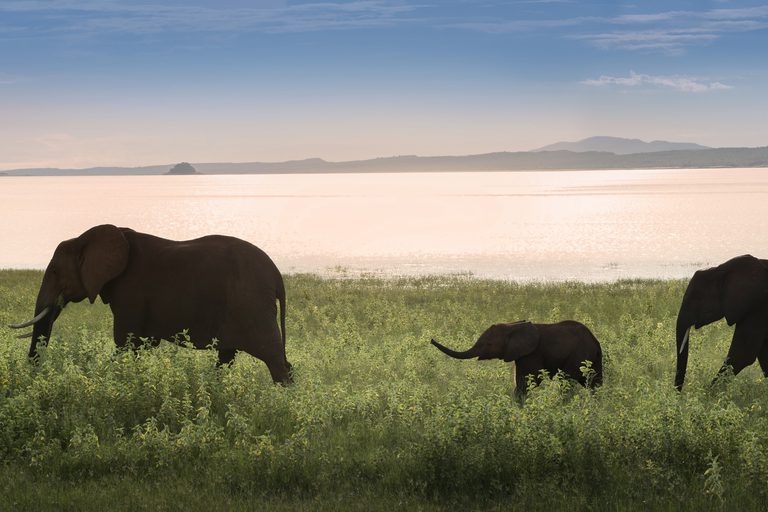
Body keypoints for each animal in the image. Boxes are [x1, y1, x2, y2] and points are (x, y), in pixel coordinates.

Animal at [9, 224, 292, 384]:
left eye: (55, 271)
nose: (34, 372)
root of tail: (277, 276)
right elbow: (140, 345)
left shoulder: (131, 291)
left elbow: (125, 343)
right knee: (227, 357)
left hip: (252, 305)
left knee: (275, 360)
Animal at [430, 320, 603, 397]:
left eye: (488, 344)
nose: (431, 340)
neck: (512, 326)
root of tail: (595, 341)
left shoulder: (532, 353)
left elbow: (528, 381)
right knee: (594, 382)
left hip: (580, 355)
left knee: (567, 381)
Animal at [674, 254, 768, 390]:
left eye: (696, 298)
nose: (678, 393)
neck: (720, 270)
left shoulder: (758, 306)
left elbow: (743, 354)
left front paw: (708, 393)